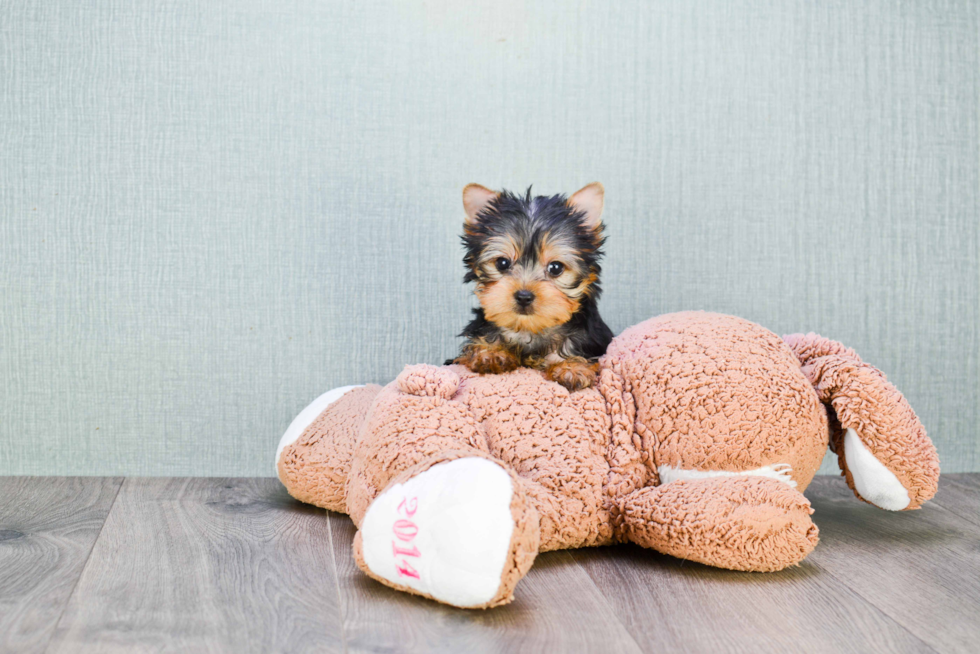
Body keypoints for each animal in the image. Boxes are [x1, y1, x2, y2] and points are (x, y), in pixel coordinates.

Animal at [450, 182, 612, 392]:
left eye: (556, 268)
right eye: (502, 263)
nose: (524, 296)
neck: (529, 329)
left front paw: (571, 367)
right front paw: (491, 352)